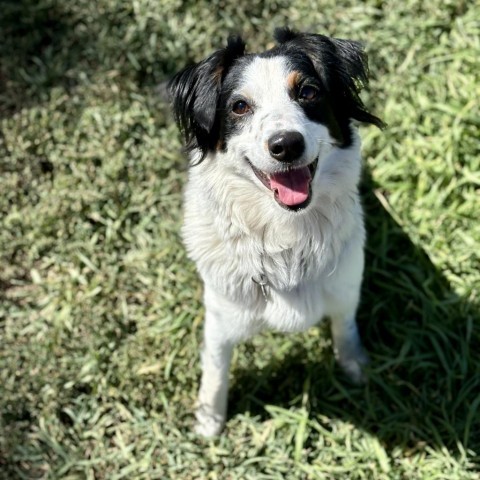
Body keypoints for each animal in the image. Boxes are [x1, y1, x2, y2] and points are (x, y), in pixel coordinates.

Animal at [169, 28, 382, 436]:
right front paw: (209, 420)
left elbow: (344, 328)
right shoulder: (220, 318)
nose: (286, 144)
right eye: (239, 106)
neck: (285, 234)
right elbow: (215, 370)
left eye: (308, 92)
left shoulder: (345, 289)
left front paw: (355, 366)